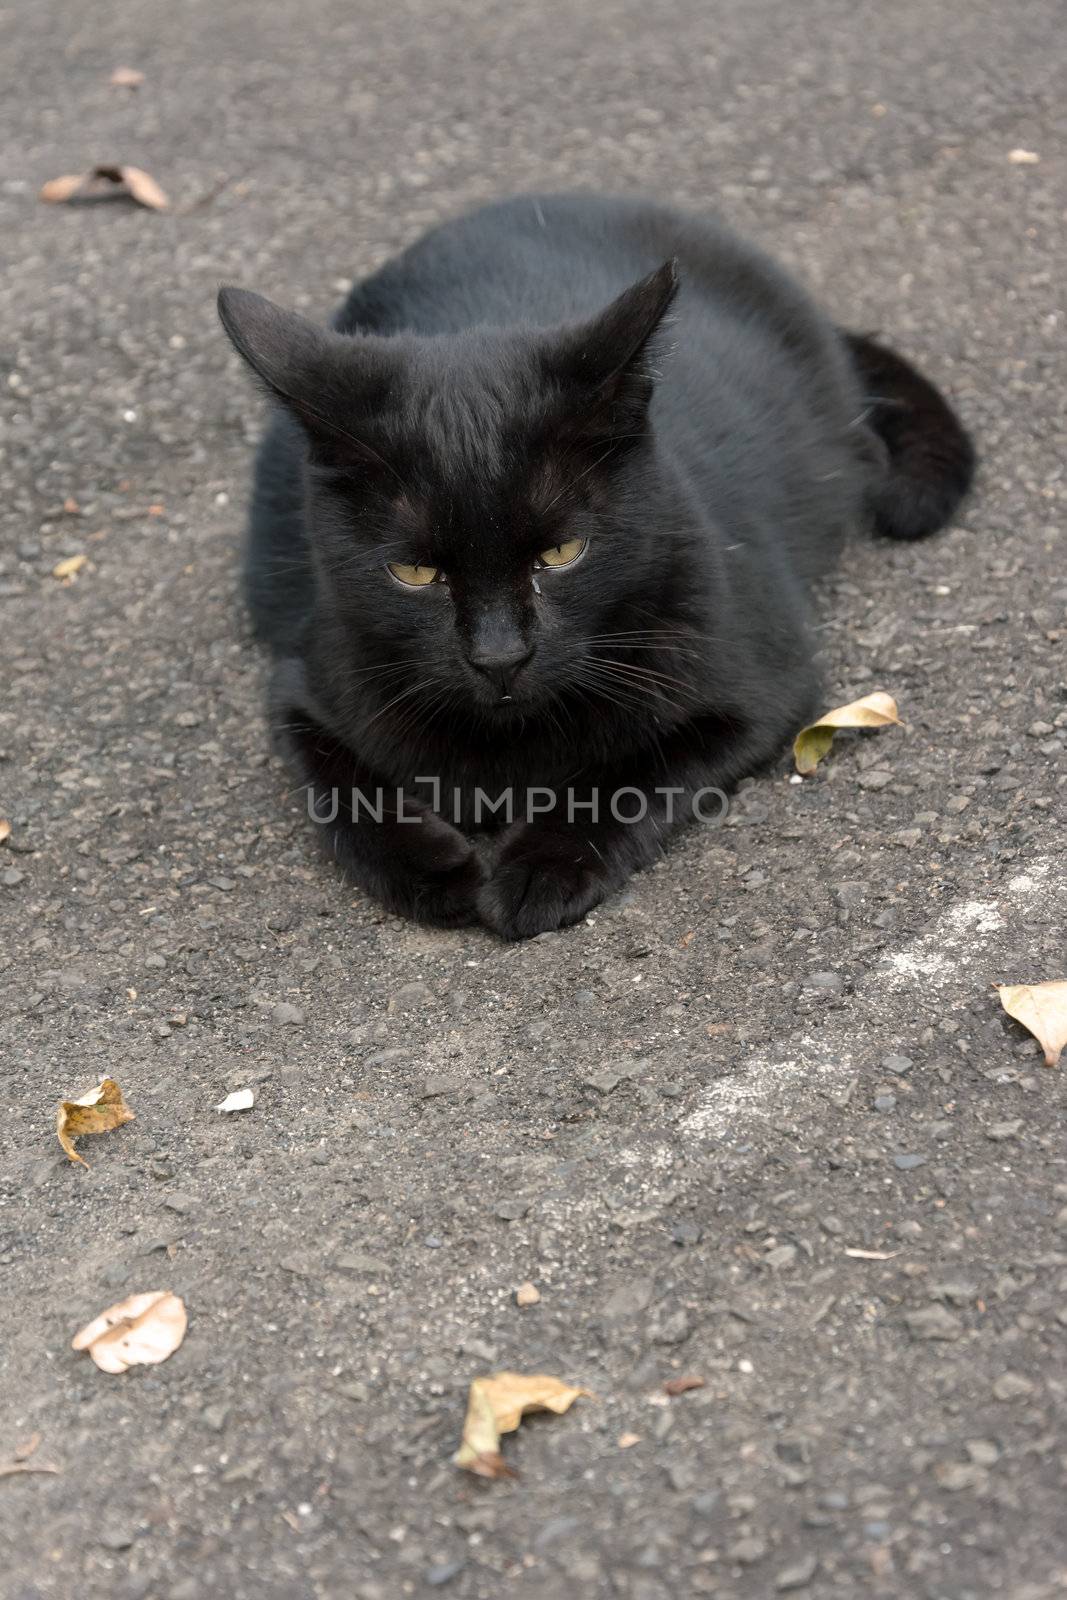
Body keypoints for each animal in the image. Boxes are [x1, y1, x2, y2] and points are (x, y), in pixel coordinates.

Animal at [217, 193, 979, 934]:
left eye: (560, 554)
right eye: (415, 575)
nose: (499, 657)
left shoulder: (760, 688)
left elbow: (628, 776)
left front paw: (536, 871)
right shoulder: (305, 683)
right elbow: (342, 793)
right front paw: (434, 872)